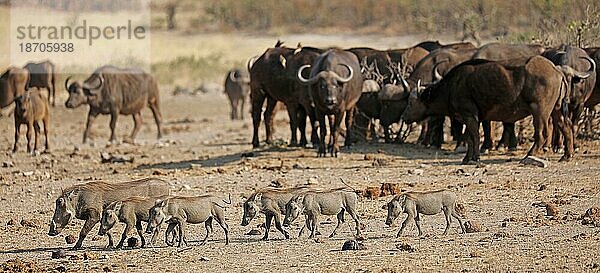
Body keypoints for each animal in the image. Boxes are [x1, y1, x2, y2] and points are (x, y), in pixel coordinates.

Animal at [404, 56, 572, 163]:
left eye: (411, 103)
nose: (404, 118)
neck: (452, 86)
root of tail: (556, 70)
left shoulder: (469, 116)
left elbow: (475, 137)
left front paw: (475, 157)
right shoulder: (472, 118)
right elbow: (469, 138)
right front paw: (466, 158)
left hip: (540, 112)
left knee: (542, 134)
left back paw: (528, 156)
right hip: (556, 110)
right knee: (566, 126)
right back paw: (566, 155)